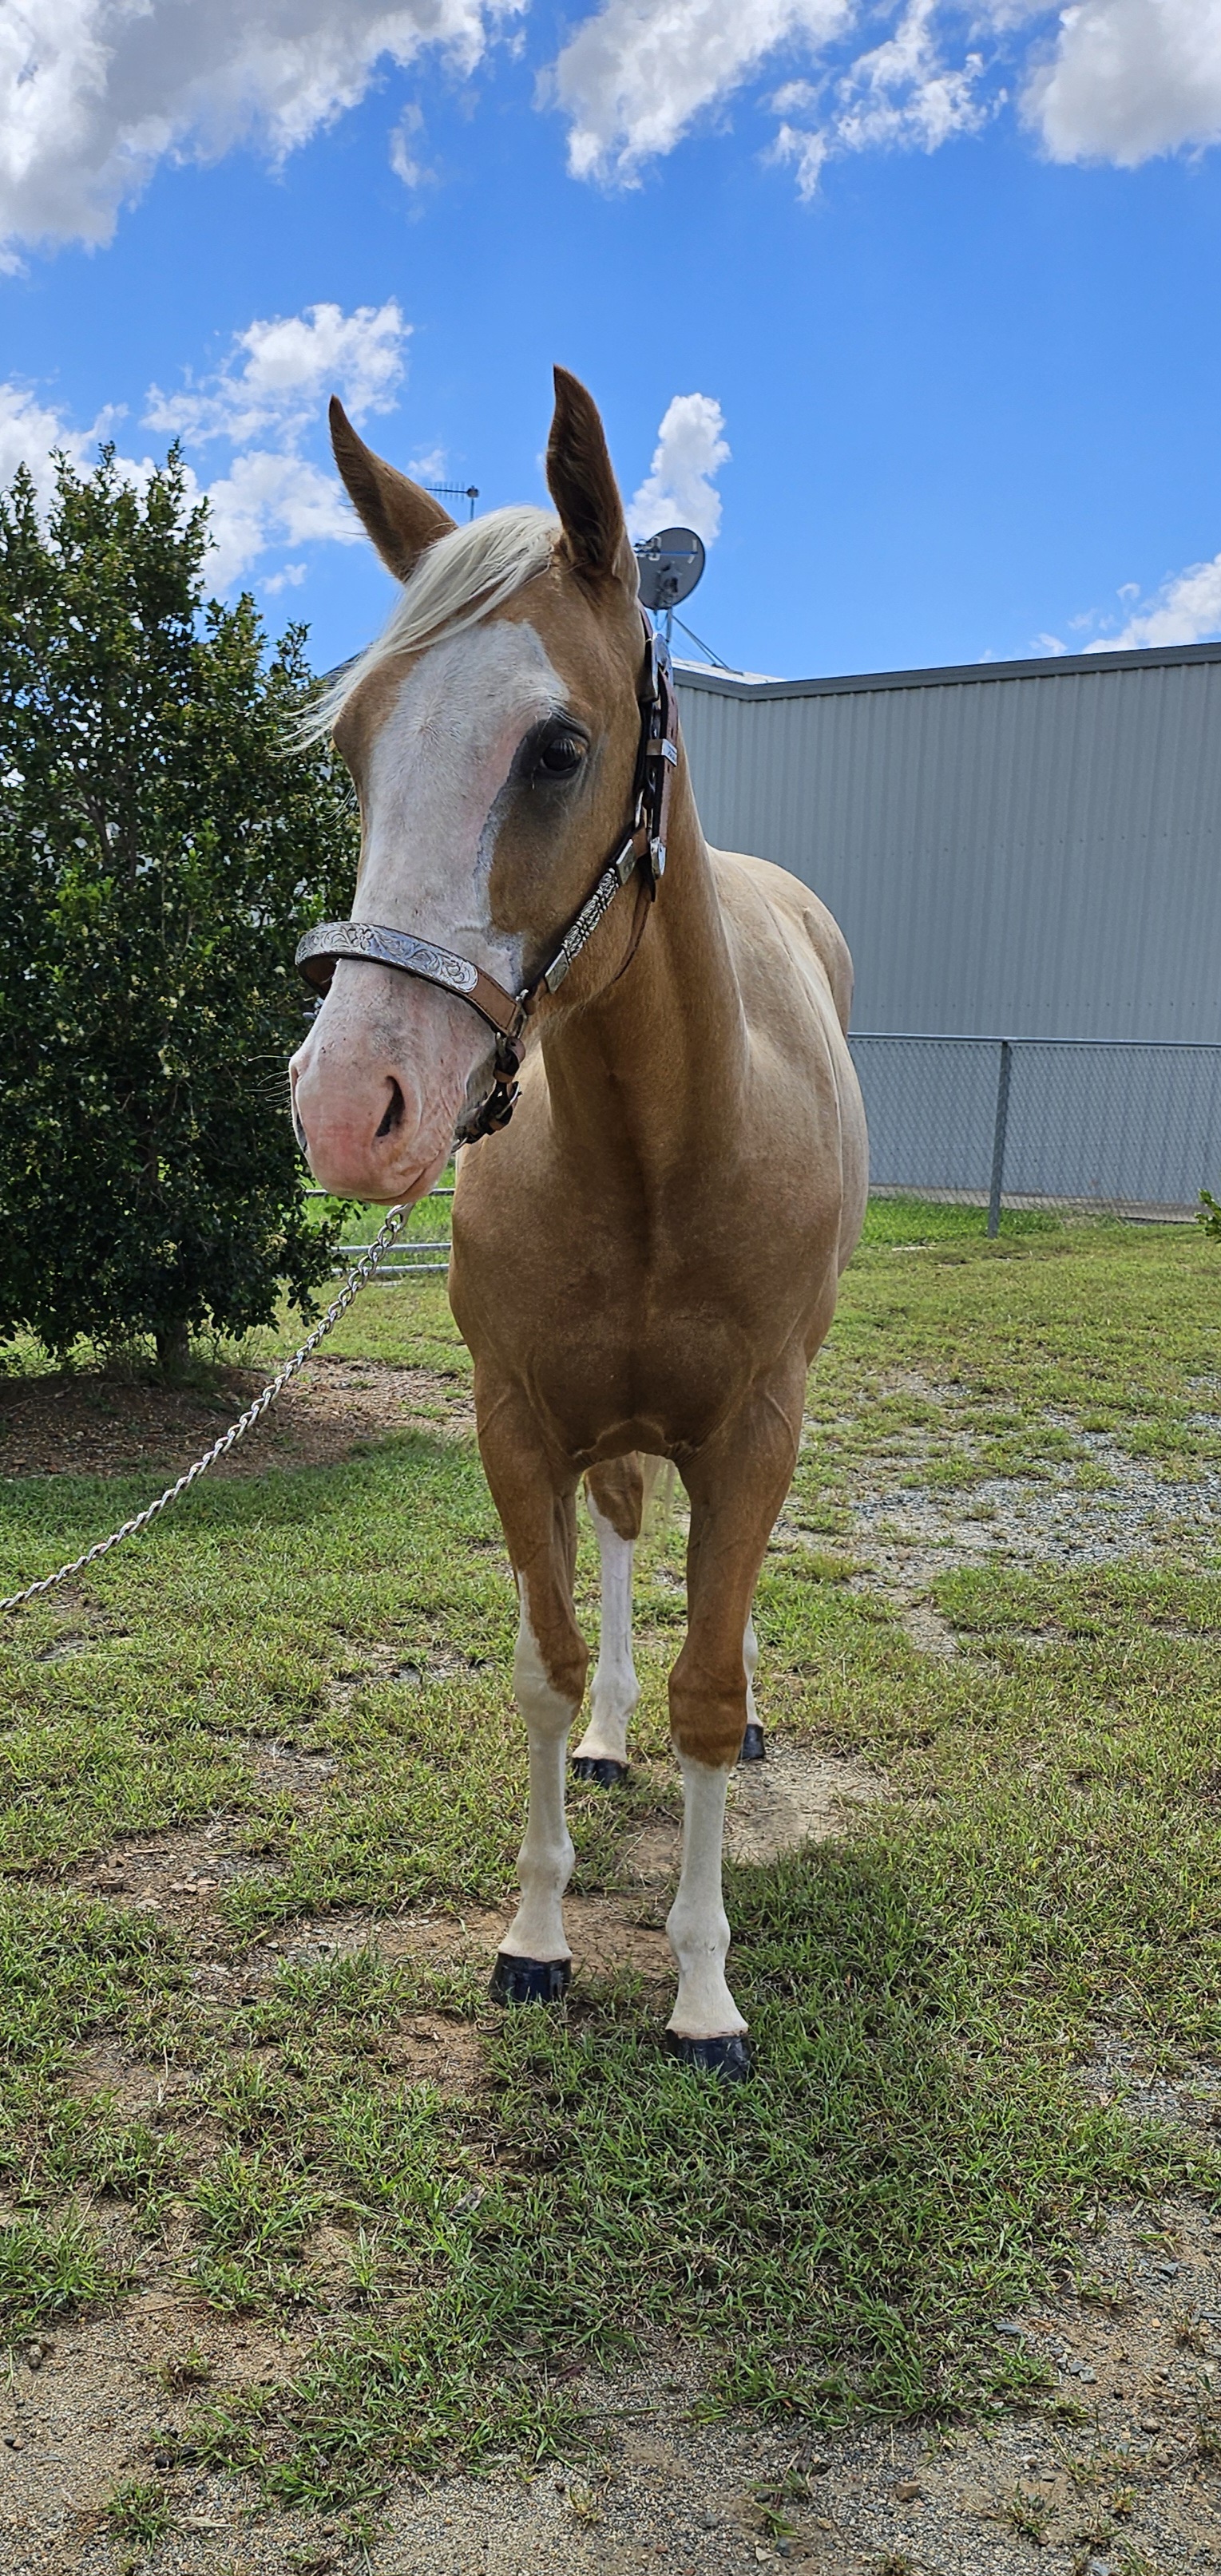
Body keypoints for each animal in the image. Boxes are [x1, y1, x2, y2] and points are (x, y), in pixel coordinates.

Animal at [290, 368, 868, 2078]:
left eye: (556, 747)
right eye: (353, 746)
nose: (348, 1106)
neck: (662, 1151)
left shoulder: (753, 1430)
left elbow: (708, 1685)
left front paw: (700, 1994)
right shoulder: (517, 1422)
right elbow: (544, 1669)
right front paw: (537, 1933)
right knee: (618, 1530)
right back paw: (615, 1740)